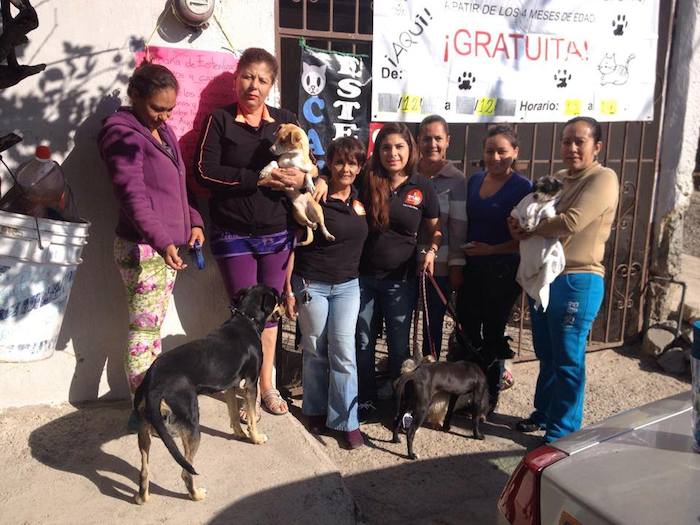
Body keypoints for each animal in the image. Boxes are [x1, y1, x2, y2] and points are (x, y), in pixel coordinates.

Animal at [133, 286, 284, 504]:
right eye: (278, 298)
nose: (288, 304)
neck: (246, 318)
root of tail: (152, 382)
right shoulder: (251, 383)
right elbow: (252, 418)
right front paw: (255, 438)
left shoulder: (231, 385)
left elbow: (233, 414)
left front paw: (239, 434)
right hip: (191, 423)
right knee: (186, 472)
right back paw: (196, 495)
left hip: (144, 429)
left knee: (144, 470)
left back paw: (142, 497)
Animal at [512, 175, 568, 312]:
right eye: (535, 188)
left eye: (545, 188)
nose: (535, 195)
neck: (541, 202)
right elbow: (530, 215)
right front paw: (528, 224)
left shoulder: (547, 211)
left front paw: (530, 224)